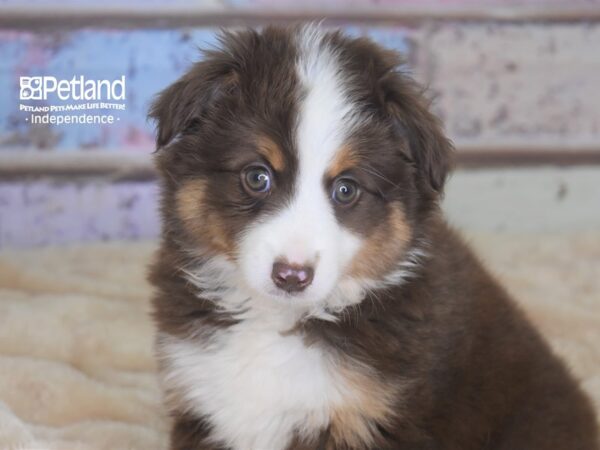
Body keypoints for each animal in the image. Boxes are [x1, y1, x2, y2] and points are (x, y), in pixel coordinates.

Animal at [148, 25, 596, 450]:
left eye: (346, 189)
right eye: (257, 176)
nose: (291, 276)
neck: (278, 323)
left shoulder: (369, 421)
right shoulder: (199, 405)